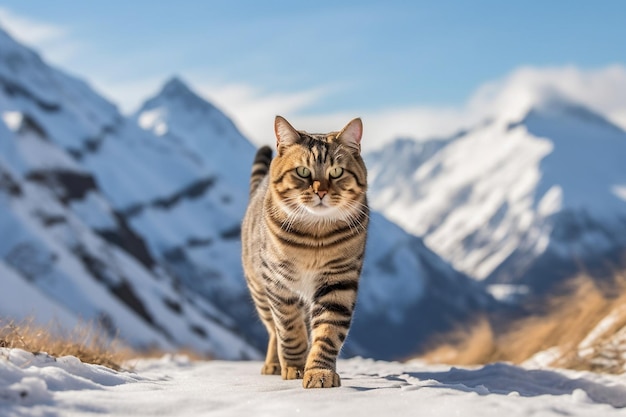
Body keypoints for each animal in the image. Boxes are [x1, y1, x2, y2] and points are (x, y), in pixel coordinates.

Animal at [239, 114, 366, 386]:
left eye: (336, 171)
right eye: (303, 171)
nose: (321, 191)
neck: (314, 235)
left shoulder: (338, 281)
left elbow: (328, 331)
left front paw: (319, 372)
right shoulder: (278, 282)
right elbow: (289, 329)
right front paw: (295, 367)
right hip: (259, 292)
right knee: (273, 330)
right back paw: (274, 364)